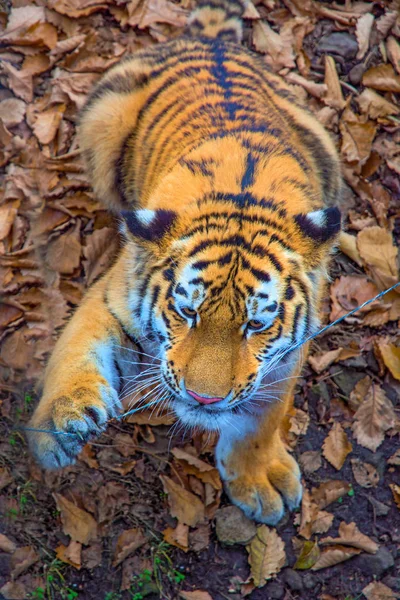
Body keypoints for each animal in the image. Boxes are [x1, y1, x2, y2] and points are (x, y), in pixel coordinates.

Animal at [27, 0, 340, 524]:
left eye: (256, 325)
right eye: (187, 312)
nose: (202, 398)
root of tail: (209, 39)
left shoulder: (285, 357)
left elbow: (262, 419)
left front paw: (259, 479)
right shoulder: (111, 300)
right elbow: (73, 354)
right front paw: (57, 426)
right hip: (101, 121)